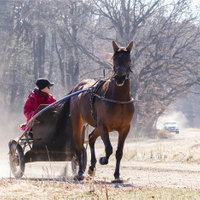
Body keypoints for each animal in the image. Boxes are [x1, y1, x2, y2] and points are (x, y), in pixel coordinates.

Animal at [56, 40, 134, 181]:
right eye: (115, 59)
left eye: (128, 59)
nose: (120, 78)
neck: (117, 98)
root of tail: (78, 86)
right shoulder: (103, 126)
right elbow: (109, 148)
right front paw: (103, 159)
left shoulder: (125, 128)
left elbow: (119, 152)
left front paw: (117, 175)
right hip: (77, 122)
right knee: (79, 147)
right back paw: (80, 171)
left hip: (97, 126)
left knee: (91, 138)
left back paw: (91, 168)